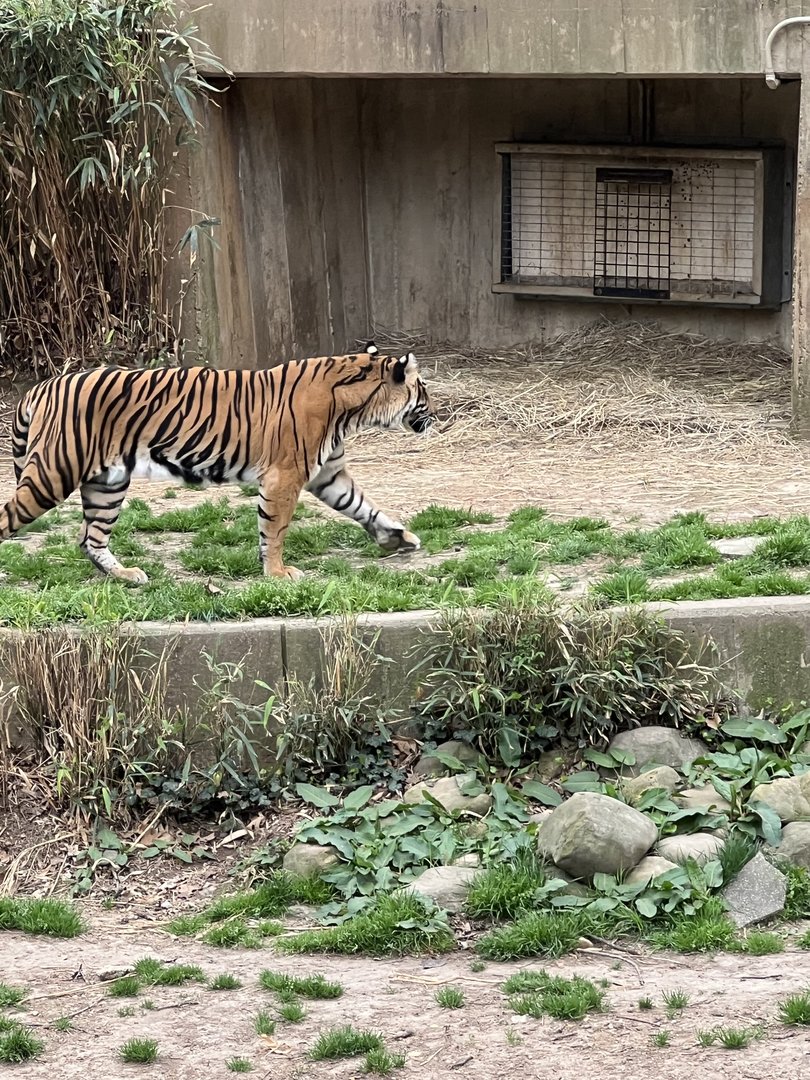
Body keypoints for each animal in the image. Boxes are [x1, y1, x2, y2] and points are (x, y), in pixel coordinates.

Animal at [2, 343, 436, 582]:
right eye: (425, 391)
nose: (436, 417)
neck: (355, 405)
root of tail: (42, 387)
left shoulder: (328, 474)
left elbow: (362, 505)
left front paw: (398, 538)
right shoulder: (286, 475)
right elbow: (275, 528)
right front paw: (278, 574)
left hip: (106, 484)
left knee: (90, 539)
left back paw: (128, 576)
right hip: (51, 475)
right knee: (11, 518)